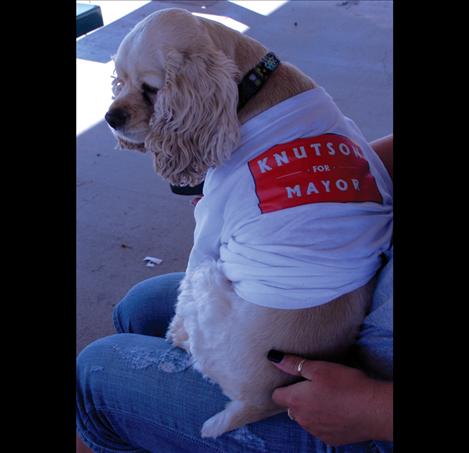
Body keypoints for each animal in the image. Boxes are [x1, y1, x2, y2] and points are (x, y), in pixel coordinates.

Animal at [105, 7, 392, 438]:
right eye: (119, 81)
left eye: (151, 89)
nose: (110, 117)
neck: (252, 87)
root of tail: (261, 403)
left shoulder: (208, 226)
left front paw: (174, 331)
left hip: (208, 278)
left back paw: (182, 338)